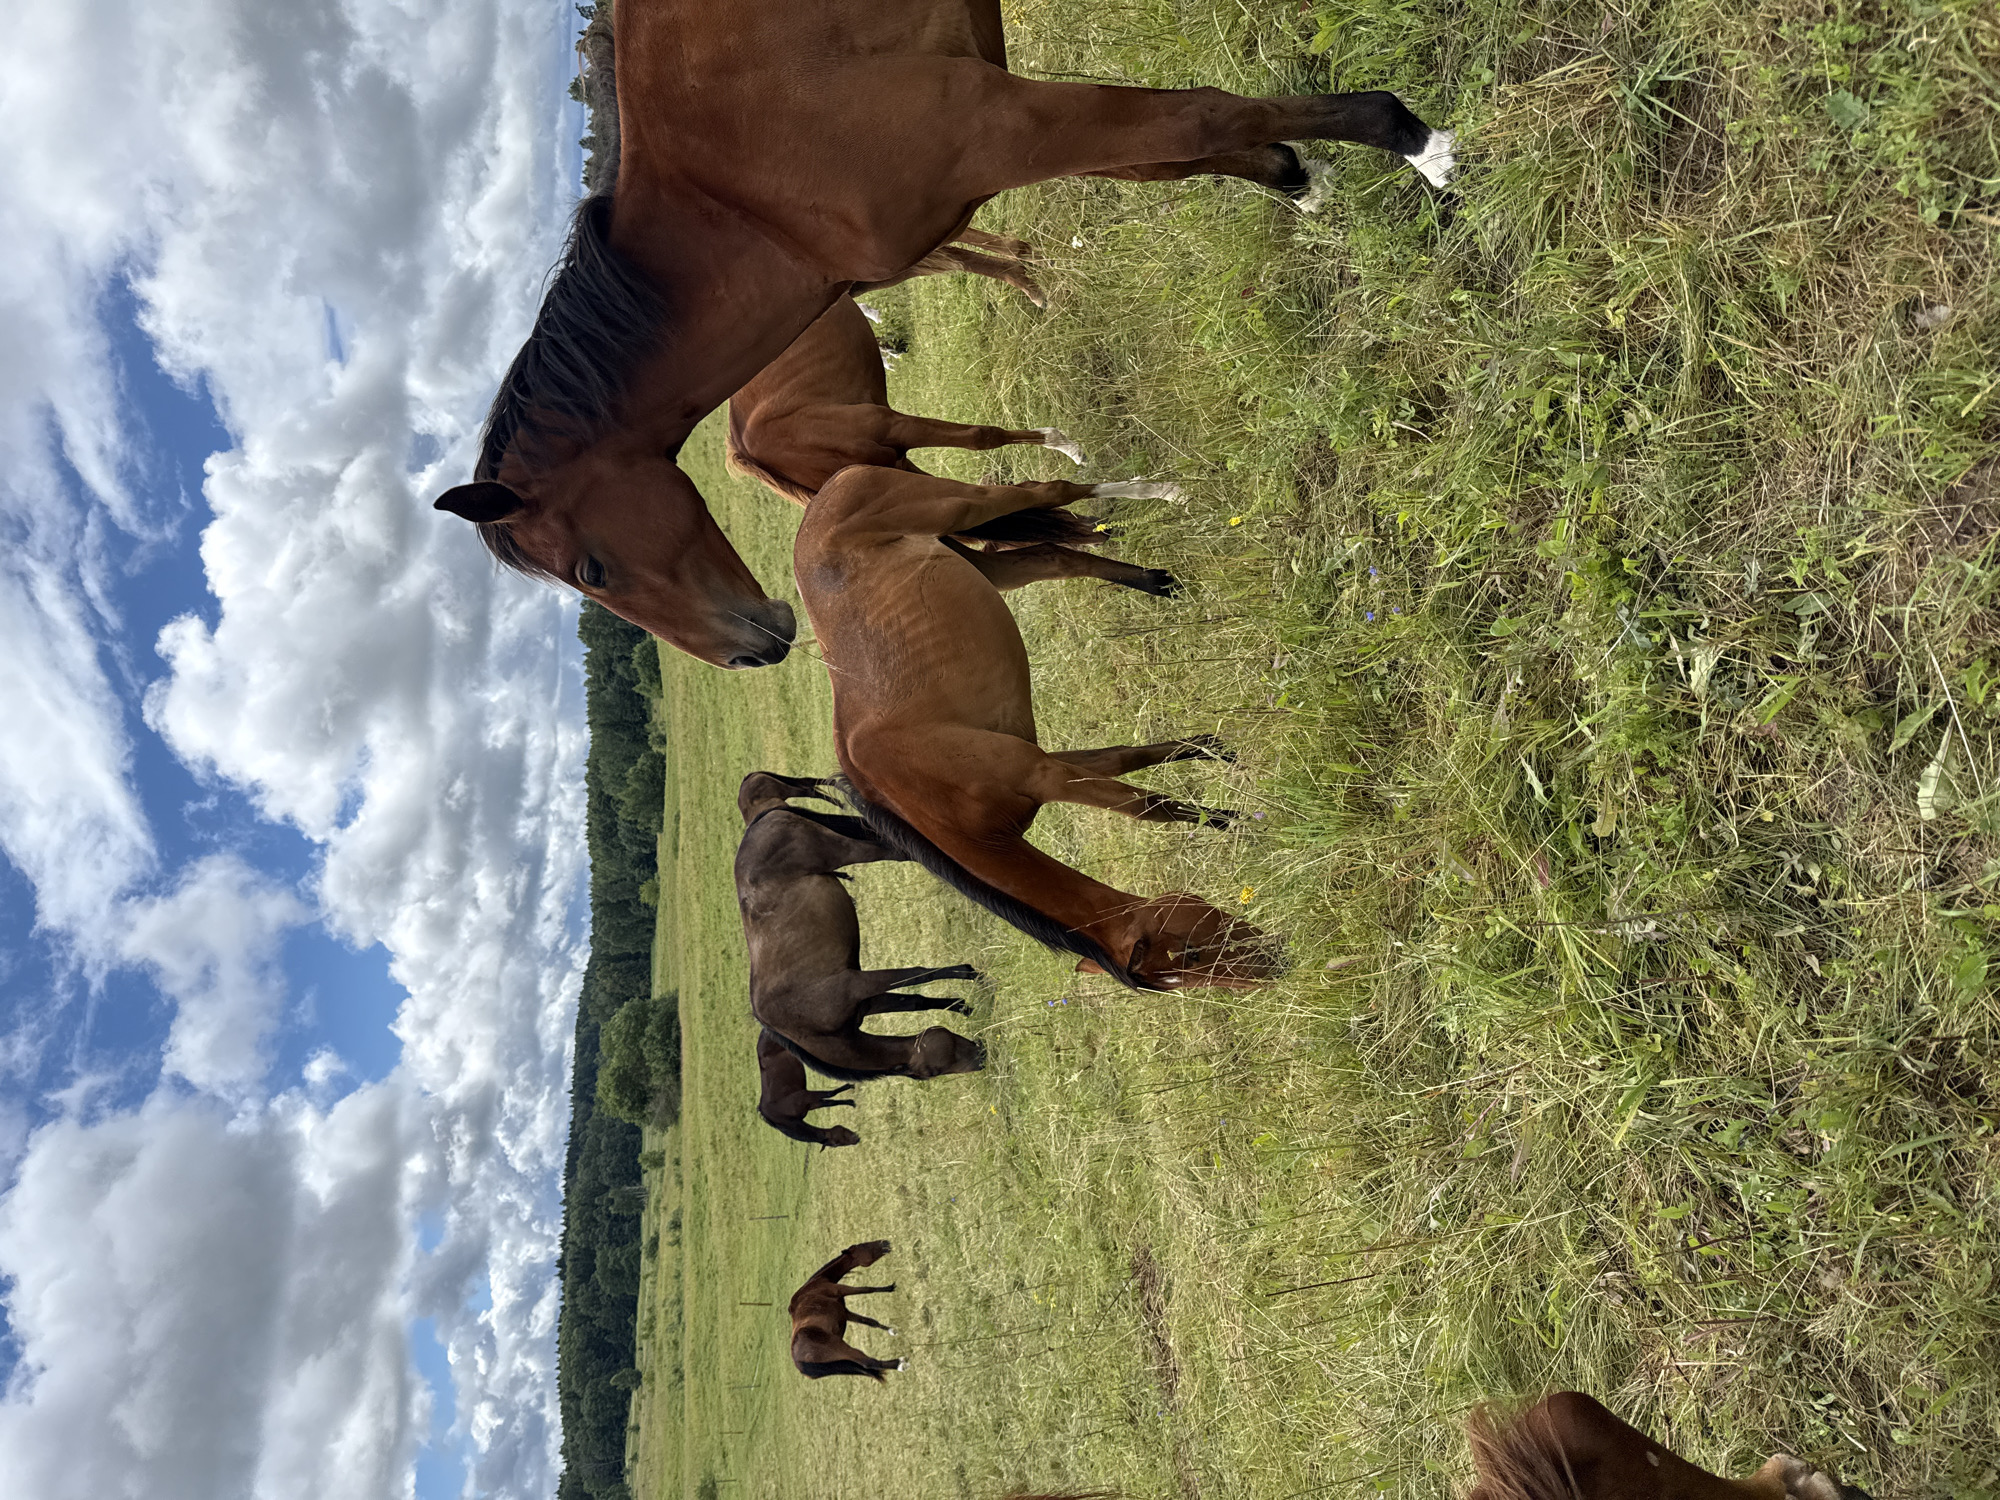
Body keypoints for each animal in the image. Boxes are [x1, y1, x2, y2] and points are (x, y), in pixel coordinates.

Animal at [726, 295, 1179, 598]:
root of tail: (747, 449)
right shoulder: (893, 426)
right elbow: (984, 437)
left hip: (899, 471)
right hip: (898, 448)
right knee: (1032, 489)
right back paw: (1155, 493)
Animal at [735, 770, 987, 1081]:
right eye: (931, 1072)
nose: (982, 1057)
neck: (805, 1026)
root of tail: (759, 822)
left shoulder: (858, 984)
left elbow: (915, 974)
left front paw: (970, 974)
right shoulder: (867, 1001)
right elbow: (915, 997)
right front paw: (961, 1004)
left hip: (846, 849)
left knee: (899, 851)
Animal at [789, 465, 1281, 991]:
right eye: (1190, 960)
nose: (1278, 961)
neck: (928, 797)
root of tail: (830, 487)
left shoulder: (1045, 774)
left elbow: (1152, 809)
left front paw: (1234, 819)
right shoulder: (1049, 765)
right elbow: (1131, 765)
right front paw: (1211, 756)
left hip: (963, 506)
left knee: (1050, 492)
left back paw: (1164, 493)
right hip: (987, 567)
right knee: (1051, 554)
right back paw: (1154, 580)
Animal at [789, 1239, 903, 1381]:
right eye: (863, 1246)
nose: (885, 1242)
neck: (816, 1285)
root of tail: (799, 1363)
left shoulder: (844, 1312)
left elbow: (870, 1322)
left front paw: (891, 1330)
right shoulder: (841, 1289)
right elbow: (867, 1289)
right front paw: (889, 1288)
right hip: (842, 1348)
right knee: (869, 1362)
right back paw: (900, 1363)